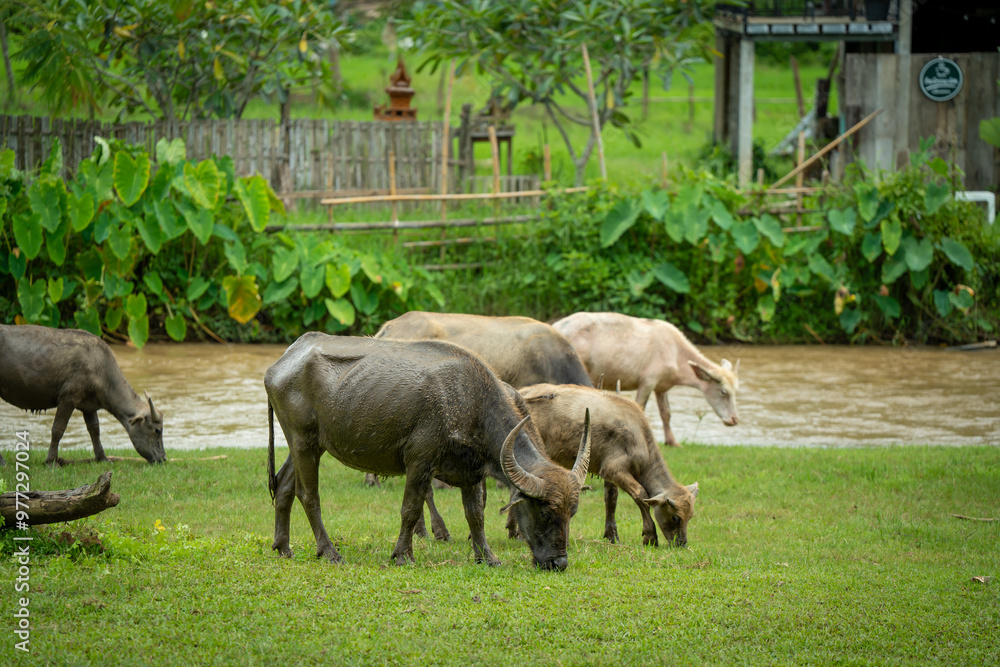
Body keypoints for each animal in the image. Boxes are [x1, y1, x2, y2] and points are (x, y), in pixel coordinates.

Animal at [0, 325, 166, 465]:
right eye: (157, 431)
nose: (163, 458)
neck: (103, 371)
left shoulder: (89, 405)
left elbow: (95, 430)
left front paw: (102, 458)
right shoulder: (68, 397)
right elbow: (58, 429)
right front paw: (51, 460)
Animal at [265, 333, 591, 570]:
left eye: (571, 514)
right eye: (545, 512)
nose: (559, 562)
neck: (469, 400)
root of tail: (281, 363)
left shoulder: (472, 472)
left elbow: (476, 515)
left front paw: (487, 557)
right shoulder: (420, 460)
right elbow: (410, 508)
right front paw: (402, 555)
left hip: (303, 444)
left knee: (283, 486)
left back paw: (283, 547)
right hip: (304, 442)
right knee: (308, 495)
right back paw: (329, 551)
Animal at [518, 383, 698, 546]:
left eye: (690, 517)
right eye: (675, 517)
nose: (681, 543)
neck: (640, 440)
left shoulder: (609, 473)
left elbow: (611, 498)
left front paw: (612, 536)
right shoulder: (614, 470)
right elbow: (641, 493)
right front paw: (650, 536)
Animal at [553, 312, 739, 447]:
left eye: (735, 391)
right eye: (723, 392)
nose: (734, 420)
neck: (675, 353)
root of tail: (557, 325)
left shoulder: (661, 387)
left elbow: (666, 413)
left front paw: (672, 442)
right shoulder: (648, 382)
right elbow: (640, 407)